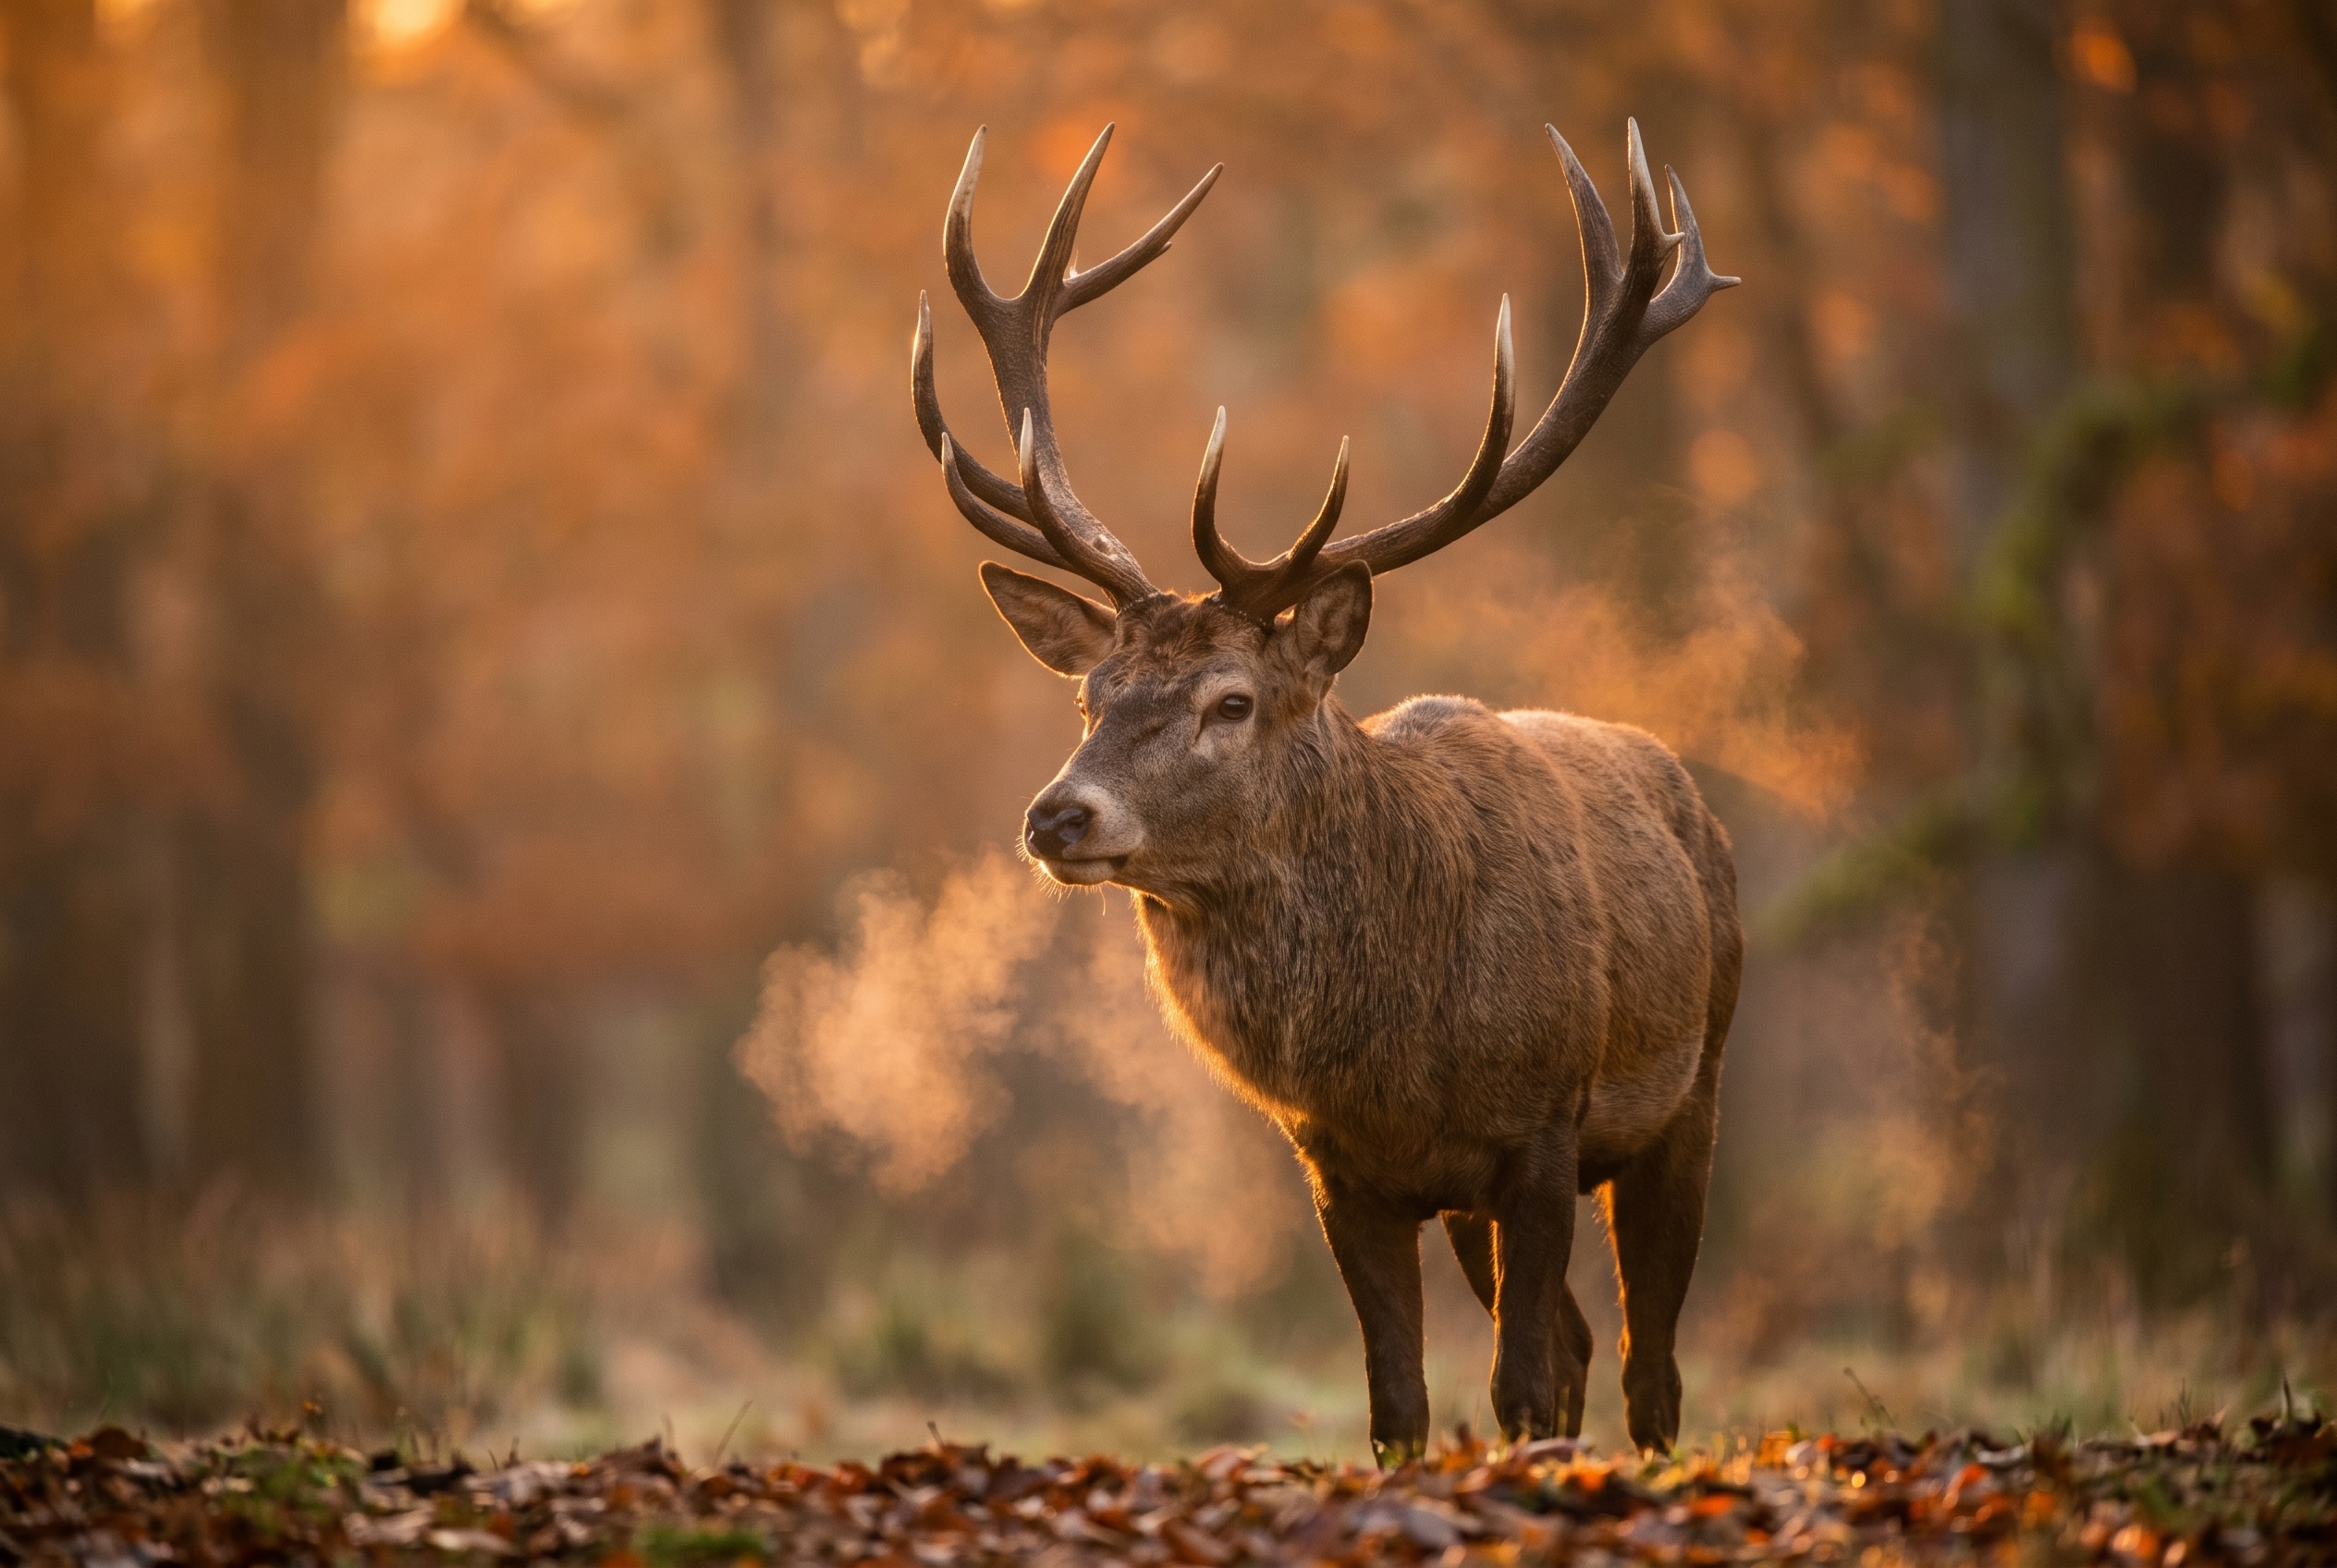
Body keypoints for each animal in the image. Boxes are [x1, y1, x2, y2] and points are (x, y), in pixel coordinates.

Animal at [911, 120, 1741, 1461]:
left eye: (1231, 702)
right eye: (1090, 696)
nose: (1056, 816)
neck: (1398, 1055)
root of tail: (1691, 800)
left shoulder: (1542, 1131)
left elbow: (1516, 1384)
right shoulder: (1342, 1169)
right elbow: (1398, 1400)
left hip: (1692, 1087)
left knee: (1645, 1365)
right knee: (1576, 1344)